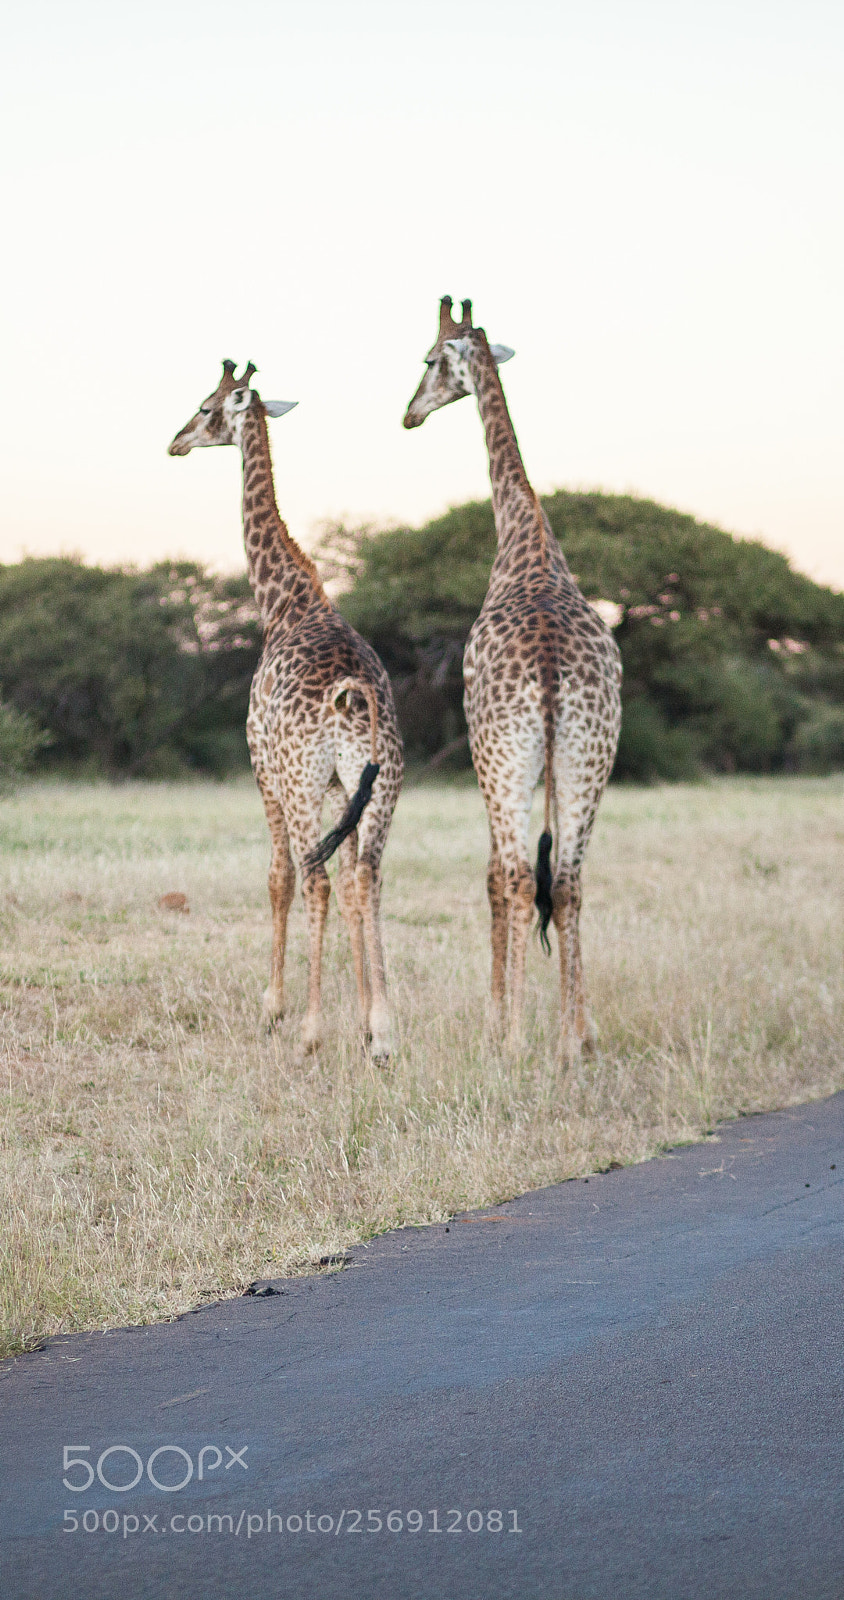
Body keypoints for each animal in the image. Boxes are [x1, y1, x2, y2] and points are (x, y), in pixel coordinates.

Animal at [169, 361, 403, 1061]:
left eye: (206, 406)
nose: (176, 442)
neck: (285, 602)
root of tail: (353, 693)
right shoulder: (342, 787)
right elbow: (352, 888)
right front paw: (367, 1021)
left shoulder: (263, 768)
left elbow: (278, 878)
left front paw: (273, 1008)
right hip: (381, 787)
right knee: (366, 877)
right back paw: (383, 1034)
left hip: (299, 782)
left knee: (315, 878)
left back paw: (309, 1032)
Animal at [404, 299, 622, 1058]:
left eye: (429, 360)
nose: (409, 414)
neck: (524, 538)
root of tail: (553, 673)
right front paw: (567, 1028)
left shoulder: (481, 748)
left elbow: (496, 876)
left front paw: (497, 1019)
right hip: (589, 752)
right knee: (571, 878)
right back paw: (574, 1040)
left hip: (506, 752)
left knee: (520, 874)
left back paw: (521, 1040)